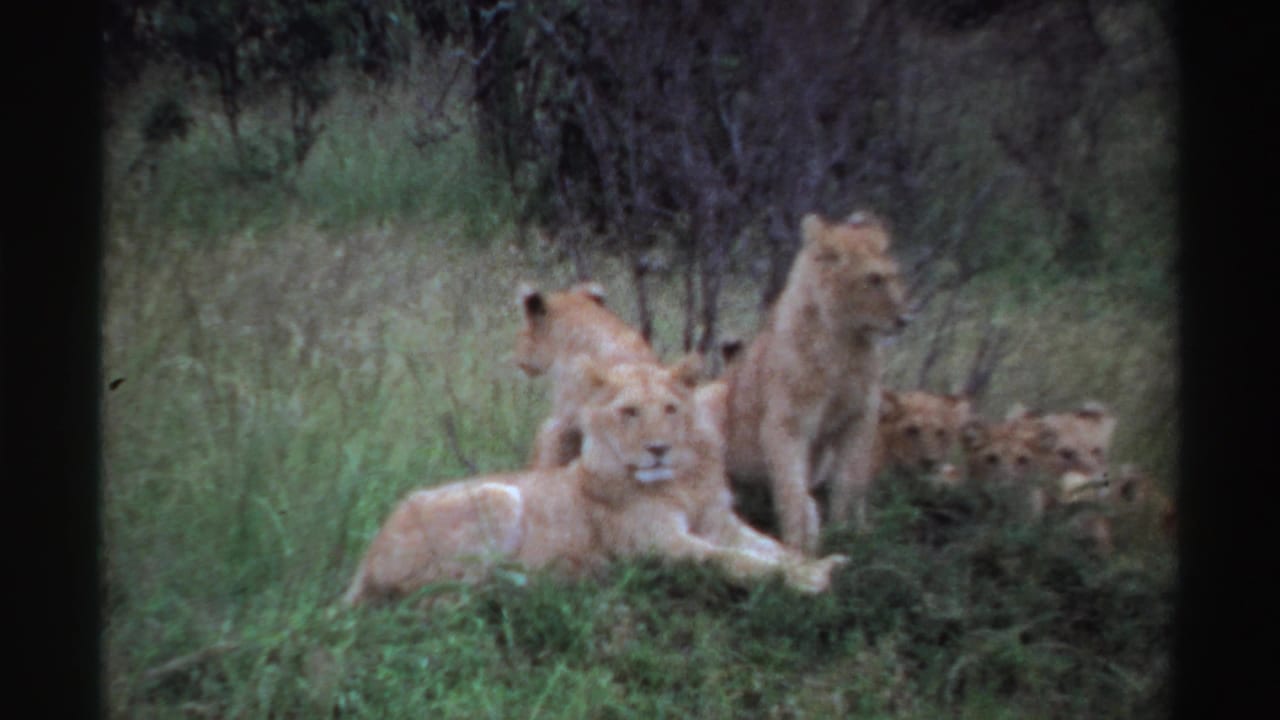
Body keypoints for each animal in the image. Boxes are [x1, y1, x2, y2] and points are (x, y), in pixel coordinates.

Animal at [343, 357, 847, 606]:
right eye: (629, 412)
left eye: (670, 409)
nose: (658, 448)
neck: (683, 481)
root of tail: (365, 559)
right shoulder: (658, 546)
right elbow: (734, 561)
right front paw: (808, 579)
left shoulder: (719, 521)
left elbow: (771, 547)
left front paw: (820, 563)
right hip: (498, 496)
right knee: (446, 591)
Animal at [723, 211, 911, 552]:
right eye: (874, 279)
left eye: (893, 276)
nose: (905, 320)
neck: (846, 344)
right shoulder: (788, 422)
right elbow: (791, 487)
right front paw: (800, 543)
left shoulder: (860, 418)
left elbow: (851, 481)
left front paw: (849, 532)